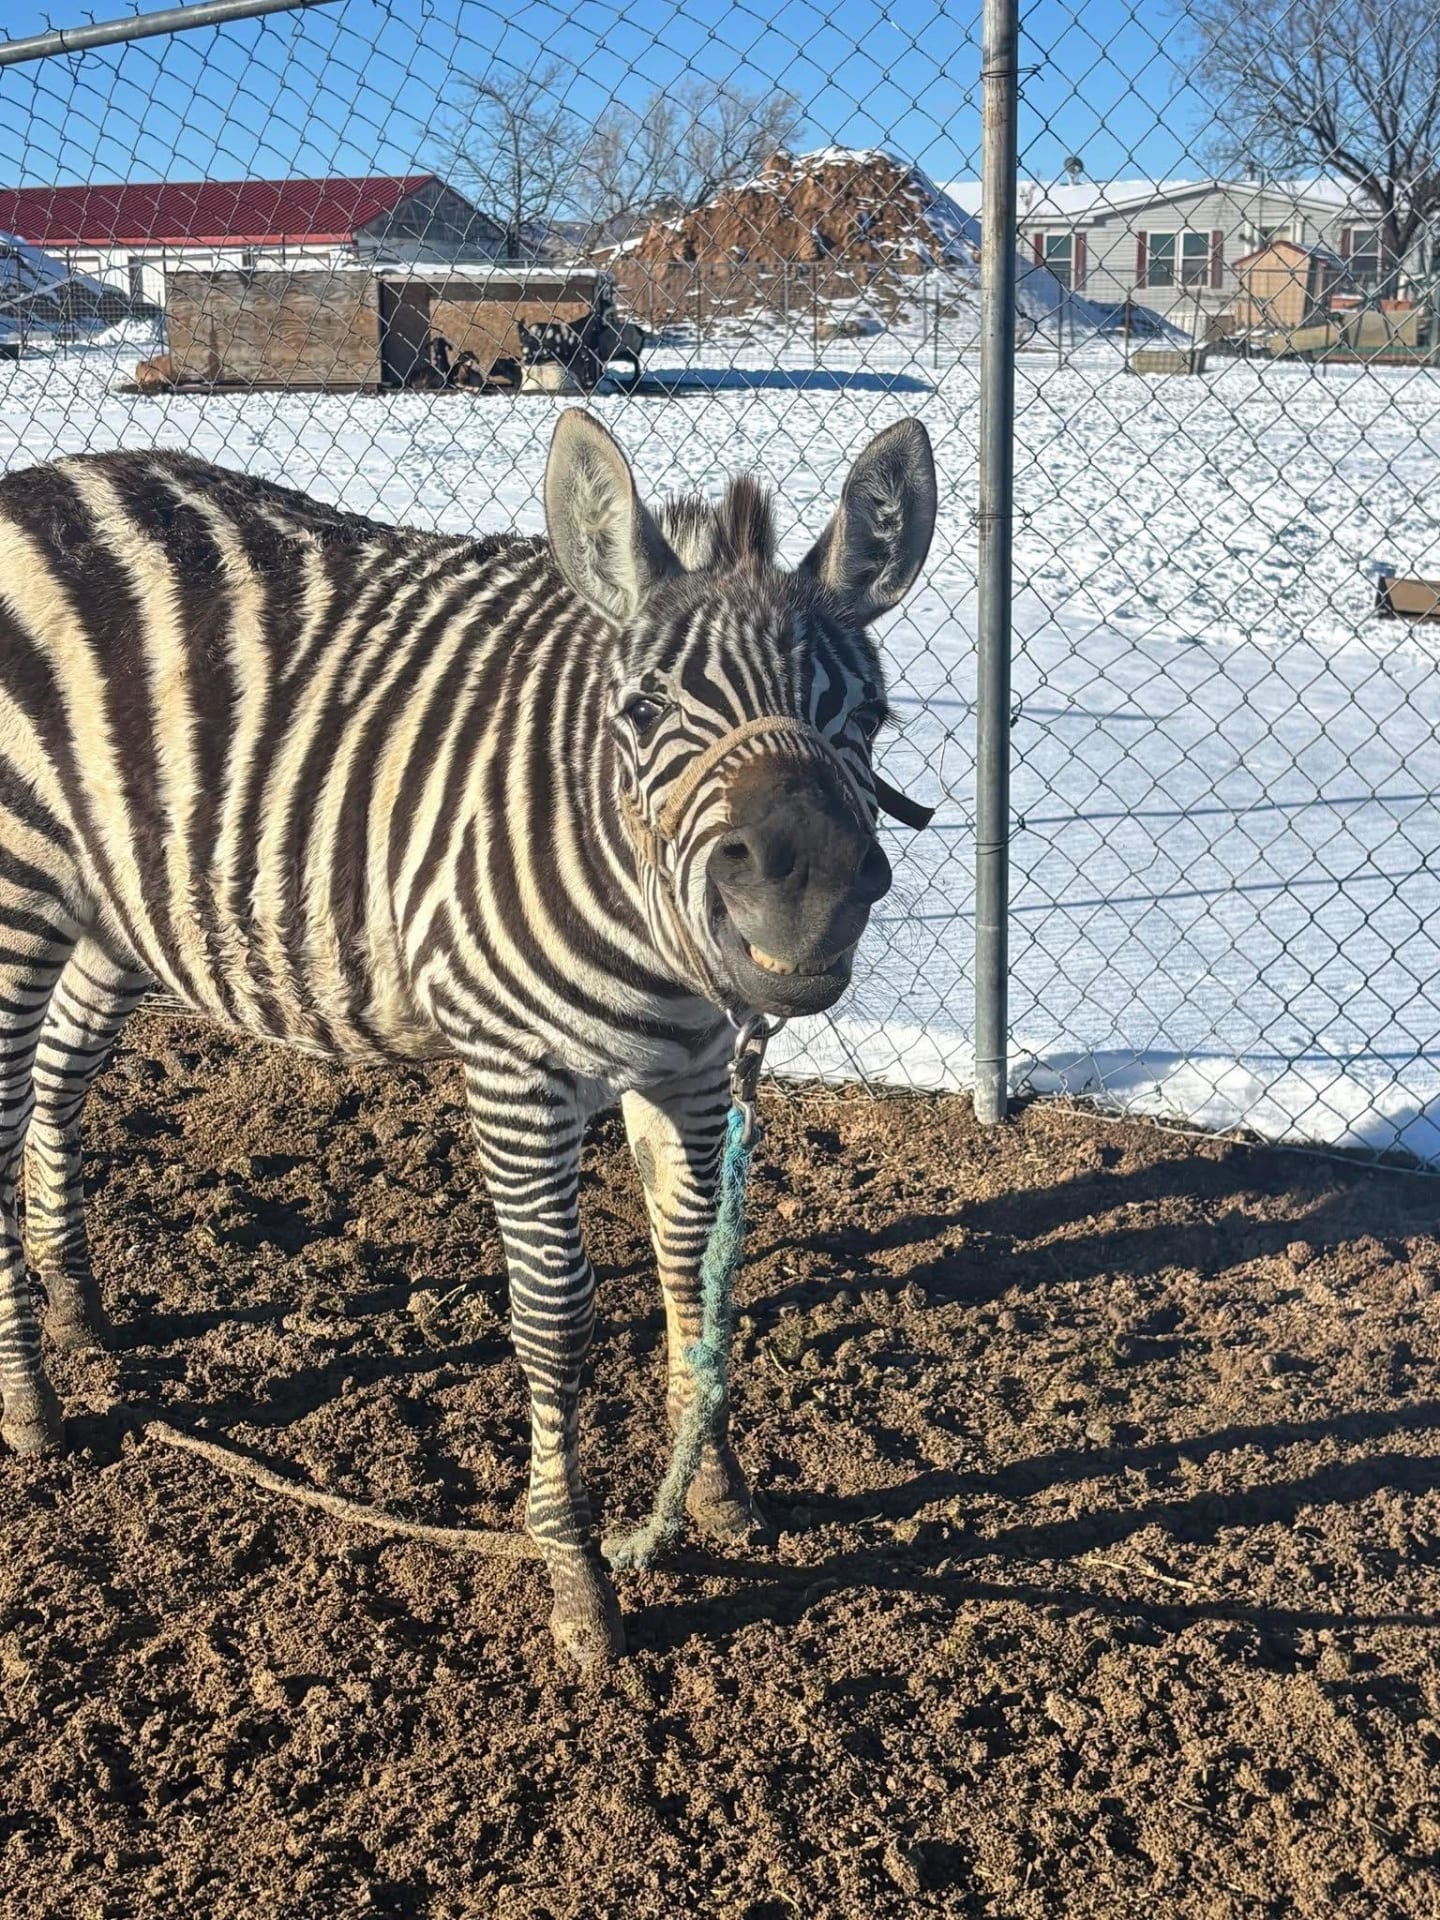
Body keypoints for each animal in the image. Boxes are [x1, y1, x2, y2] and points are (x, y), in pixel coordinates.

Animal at [0, 410, 936, 1663]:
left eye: (869, 716)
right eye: (642, 712)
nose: (807, 892)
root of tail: (44, 479)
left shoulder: (691, 1073)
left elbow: (693, 1265)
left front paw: (714, 1490)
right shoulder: (515, 1078)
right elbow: (554, 1313)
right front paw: (579, 1579)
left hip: (127, 907)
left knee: (56, 1084)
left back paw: (77, 1307)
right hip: (20, 894)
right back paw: (31, 1408)